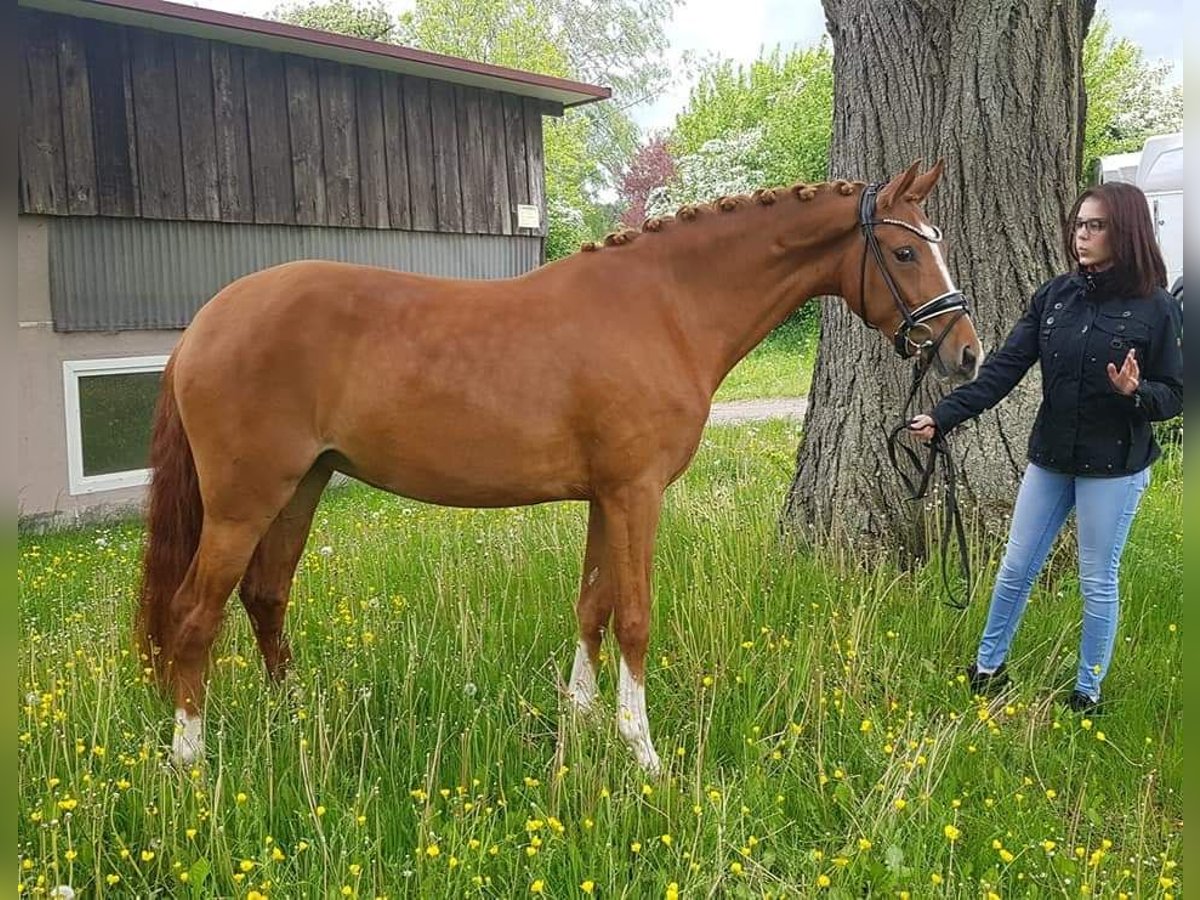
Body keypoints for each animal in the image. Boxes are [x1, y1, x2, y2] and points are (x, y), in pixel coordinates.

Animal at [140, 160, 979, 768]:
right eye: (906, 250)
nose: (967, 353)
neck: (664, 307)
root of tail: (206, 323)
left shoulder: (605, 497)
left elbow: (591, 606)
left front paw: (580, 720)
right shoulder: (637, 493)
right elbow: (634, 618)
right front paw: (644, 753)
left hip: (301, 487)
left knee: (265, 597)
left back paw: (296, 722)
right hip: (244, 502)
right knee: (195, 614)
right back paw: (190, 763)